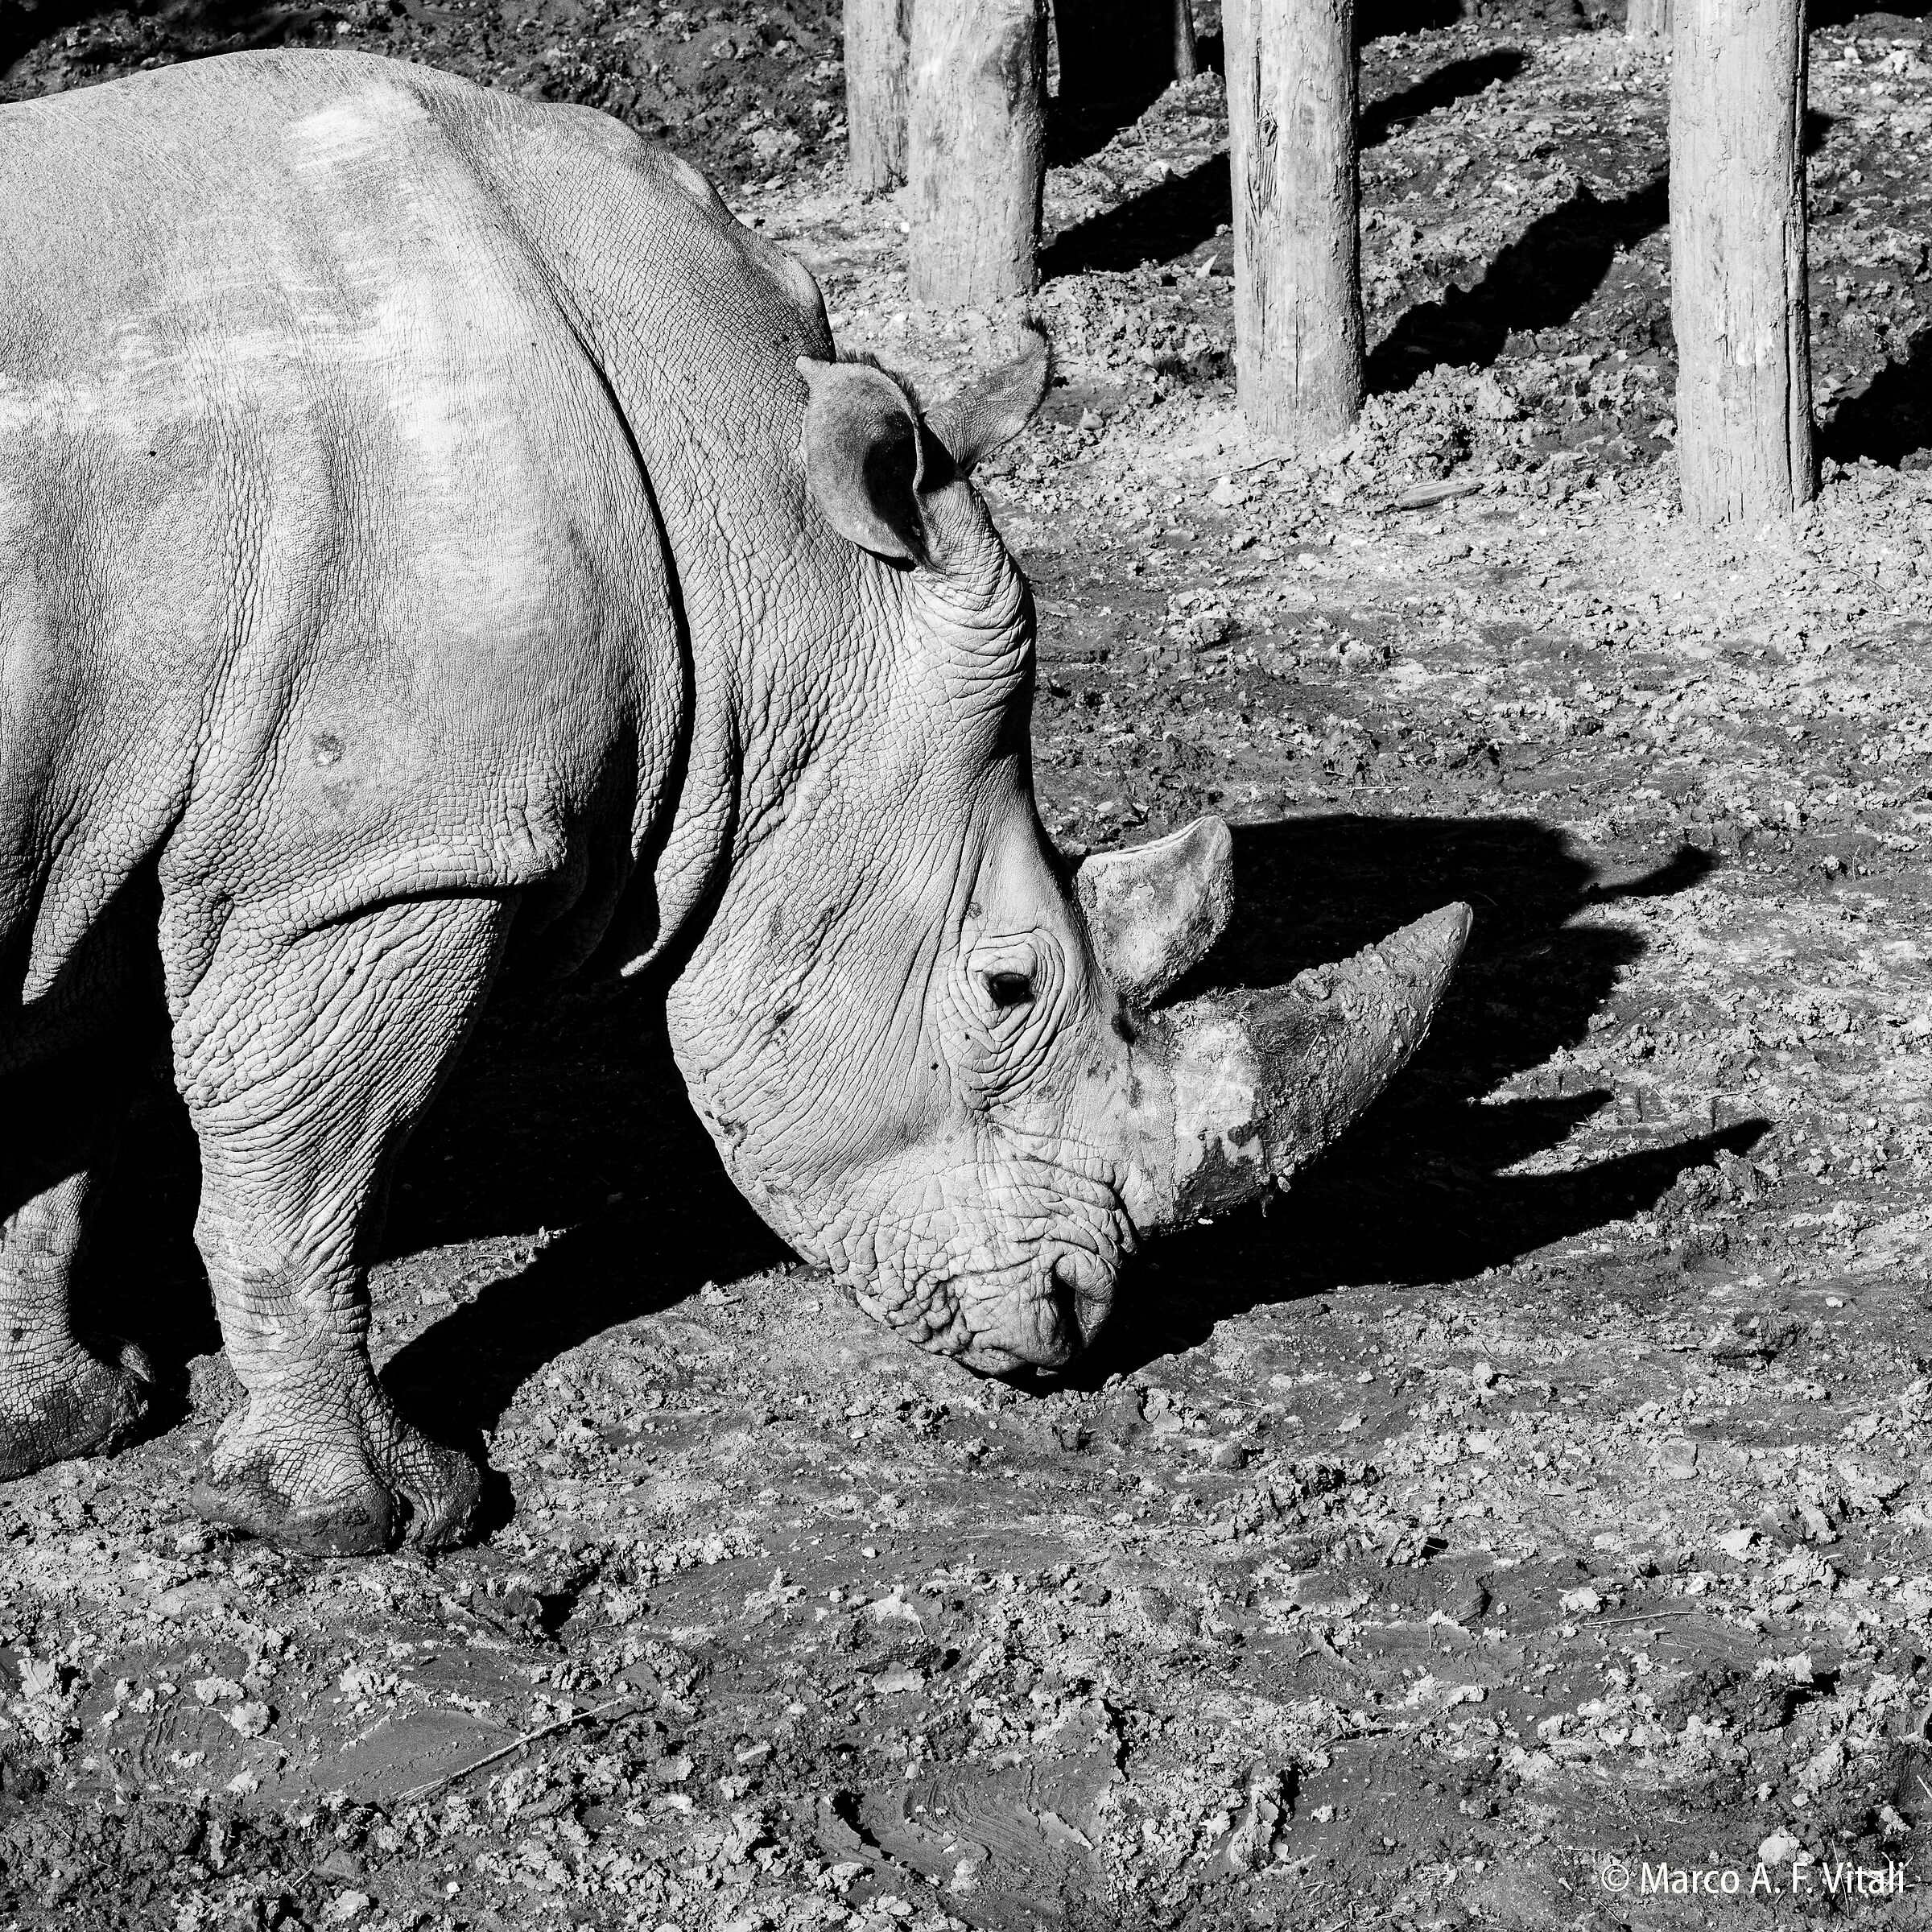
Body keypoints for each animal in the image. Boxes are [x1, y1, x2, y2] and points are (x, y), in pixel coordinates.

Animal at [0, 51, 1469, 1555]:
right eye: (1005, 989)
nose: (1076, 1322)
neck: (759, 544)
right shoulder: (381, 862)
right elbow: (309, 1167)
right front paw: (382, 1516)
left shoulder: (118, 833)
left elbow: (56, 1122)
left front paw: (57, 1425)